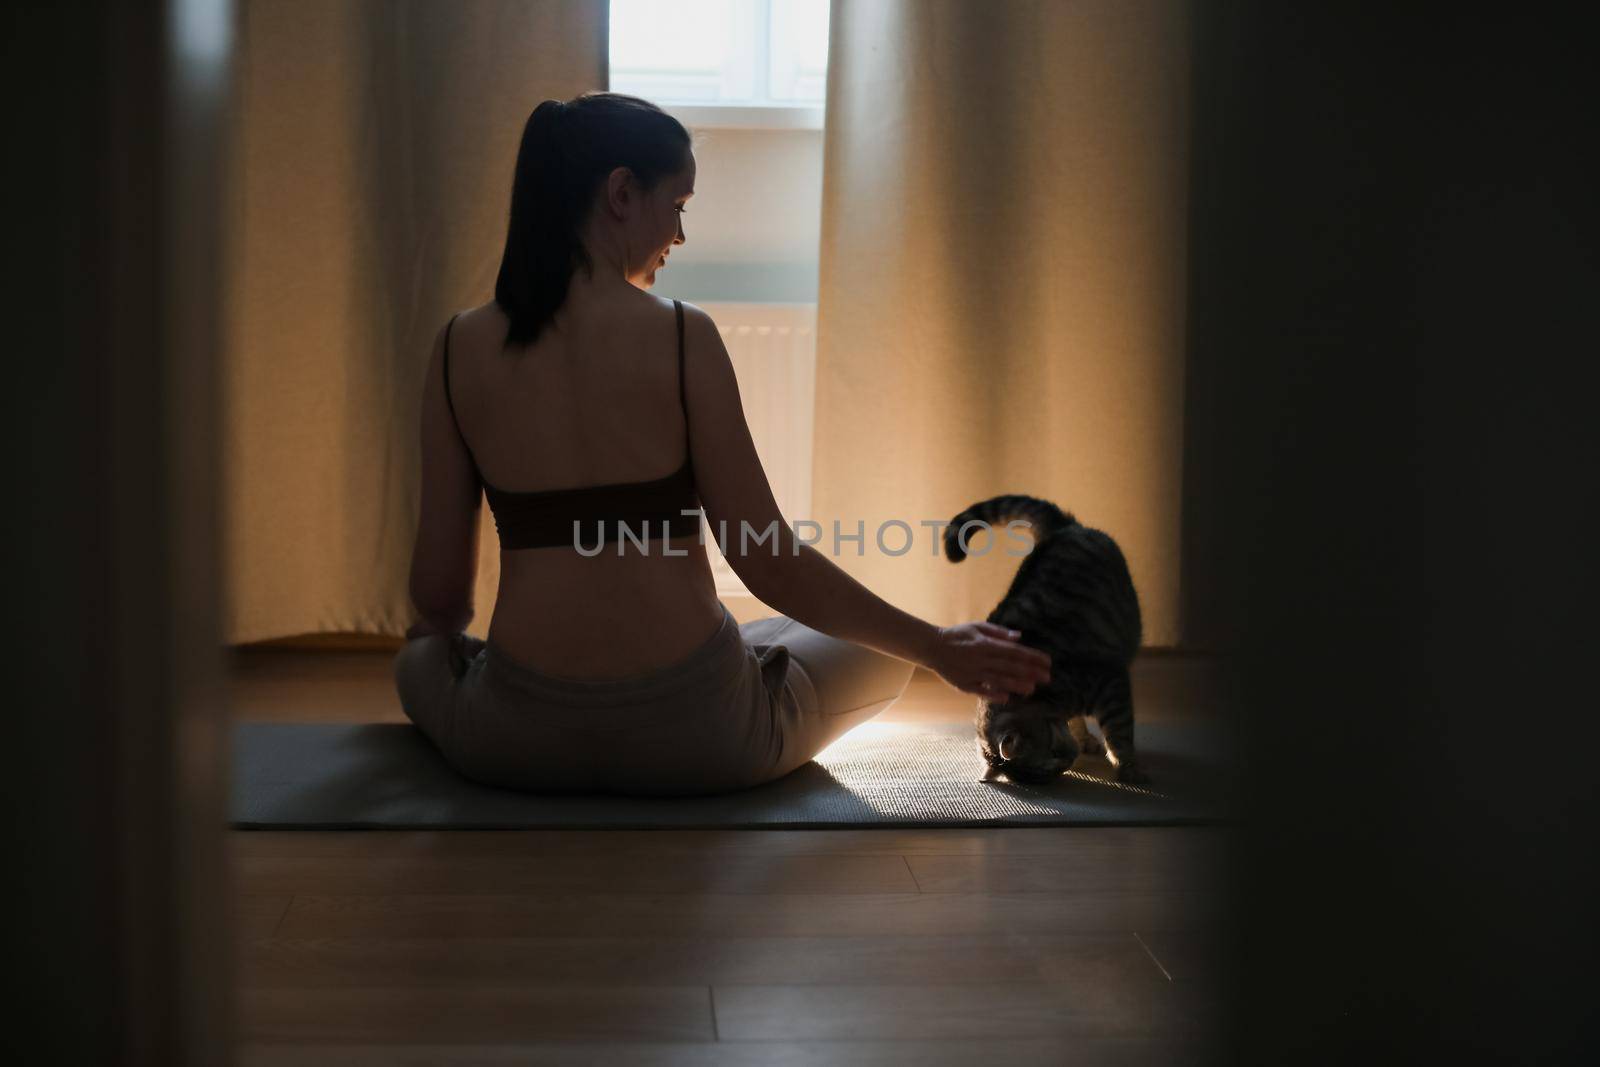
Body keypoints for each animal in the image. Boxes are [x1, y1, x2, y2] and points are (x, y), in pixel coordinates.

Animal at [940, 495, 1145, 783]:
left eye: (1054, 753)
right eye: (1054, 768)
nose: (1069, 759)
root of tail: (1061, 528)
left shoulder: (1109, 682)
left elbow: (1120, 733)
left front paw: (1128, 768)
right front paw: (1085, 739)